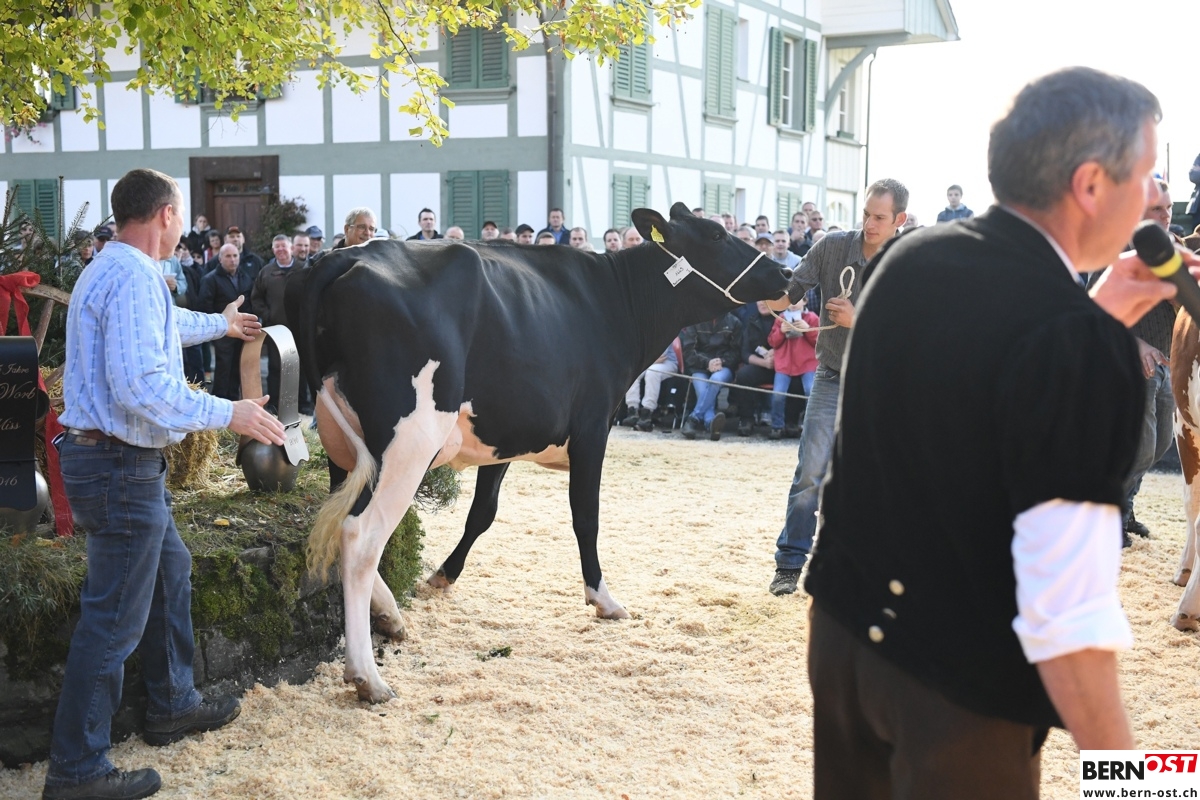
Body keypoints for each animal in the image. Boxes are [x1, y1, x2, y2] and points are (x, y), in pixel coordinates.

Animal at [286, 203, 791, 702]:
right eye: (716, 236)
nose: (785, 274)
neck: (616, 302)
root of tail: (341, 257)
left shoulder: (506, 435)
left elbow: (482, 513)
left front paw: (443, 575)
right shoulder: (592, 427)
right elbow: (586, 516)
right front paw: (603, 598)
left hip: (343, 442)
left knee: (341, 519)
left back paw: (390, 616)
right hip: (411, 439)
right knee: (361, 535)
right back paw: (367, 677)